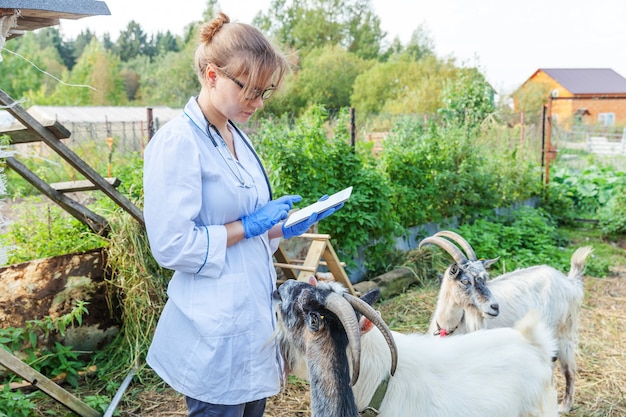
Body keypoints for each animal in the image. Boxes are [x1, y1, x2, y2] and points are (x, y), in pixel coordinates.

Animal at [420, 231, 588, 412]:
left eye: (485, 278)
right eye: (465, 281)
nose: (494, 307)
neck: (450, 326)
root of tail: (569, 282)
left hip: (562, 330)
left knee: (568, 367)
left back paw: (564, 406)